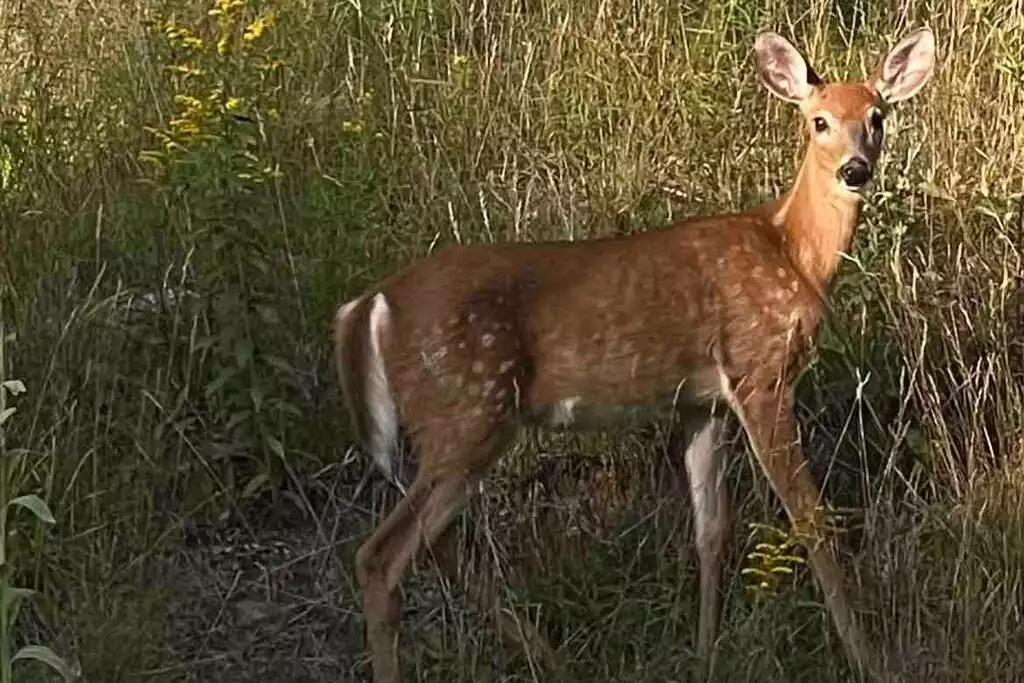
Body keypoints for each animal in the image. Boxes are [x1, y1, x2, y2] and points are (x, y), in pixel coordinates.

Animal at [333, 26, 937, 683]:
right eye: (819, 121)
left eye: (877, 117)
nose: (856, 169)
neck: (793, 252)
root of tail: (368, 305)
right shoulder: (760, 370)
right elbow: (810, 518)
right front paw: (868, 658)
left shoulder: (703, 403)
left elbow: (710, 529)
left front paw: (705, 653)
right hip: (467, 405)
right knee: (380, 557)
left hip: (462, 426)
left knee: (437, 543)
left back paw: (550, 655)